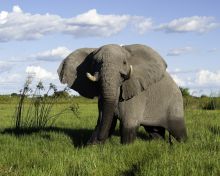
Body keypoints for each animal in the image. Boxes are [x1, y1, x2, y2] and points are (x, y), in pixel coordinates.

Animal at [57, 44, 187, 144]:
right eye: (95, 63)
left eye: (124, 63)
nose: (98, 140)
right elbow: (105, 120)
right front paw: (93, 146)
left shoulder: (136, 93)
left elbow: (128, 123)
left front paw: (126, 147)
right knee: (155, 131)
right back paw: (158, 143)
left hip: (174, 102)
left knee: (178, 130)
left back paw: (181, 144)